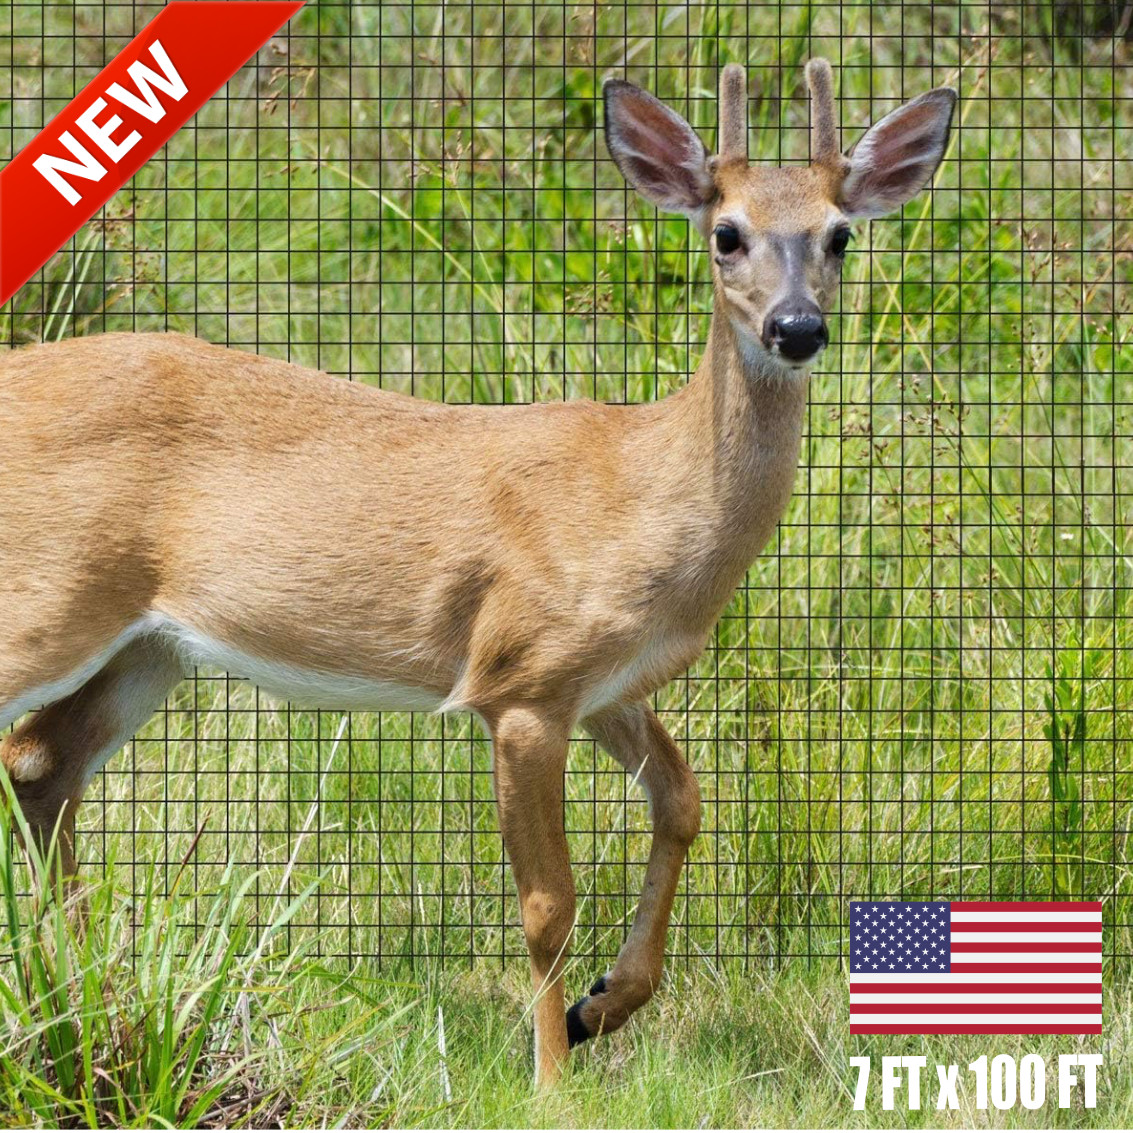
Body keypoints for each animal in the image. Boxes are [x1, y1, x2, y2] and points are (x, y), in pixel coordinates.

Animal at [0, 59, 955, 1087]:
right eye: (725, 232)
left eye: (839, 234)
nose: (796, 326)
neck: (642, 495)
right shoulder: (522, 680)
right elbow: (547, 903)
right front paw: (552, 1077)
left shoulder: (602, 682)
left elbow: (684, 799)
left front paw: (601, 1006)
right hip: (48, 597)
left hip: (149, 646)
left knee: (42, 763)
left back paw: (77, 994)